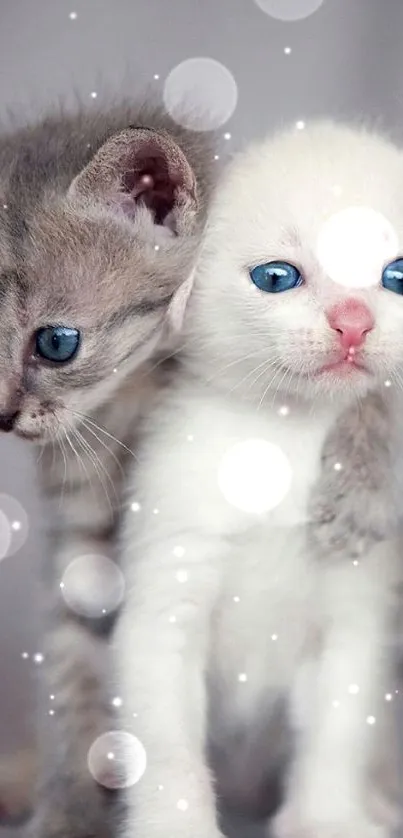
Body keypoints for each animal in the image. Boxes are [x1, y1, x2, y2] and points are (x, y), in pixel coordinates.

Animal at [115, 123, 403, 838]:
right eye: (277, 277)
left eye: (397, 275)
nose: (354, 321)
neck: (283, 437)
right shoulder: (166, 597)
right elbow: (165, 749)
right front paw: (176, 827)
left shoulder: (354, 615)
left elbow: (336, 733)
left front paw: (329, 818)